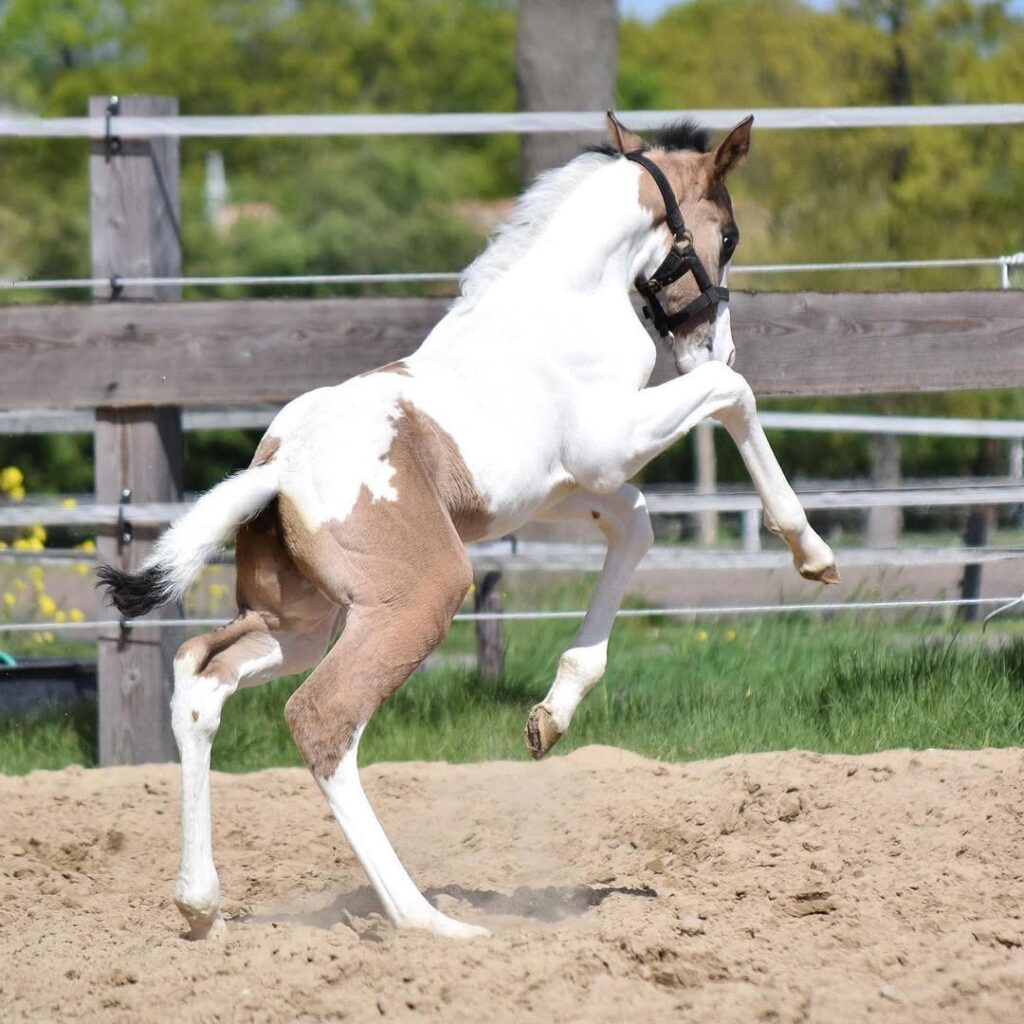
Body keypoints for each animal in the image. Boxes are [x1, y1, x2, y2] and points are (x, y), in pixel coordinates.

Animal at [98, 112, 839, 942]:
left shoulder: (570, 486)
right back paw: (428, 922)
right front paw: (811, 551)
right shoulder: (610, 446)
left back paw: (201, 907)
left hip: (302, 622)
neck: (565, 302)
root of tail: (279, 469)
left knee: (201, 675)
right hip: (420, 597)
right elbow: (733, 395)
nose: (718, 339)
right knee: (322, 719)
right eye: (731, 234)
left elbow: (638, 529)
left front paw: (550, 718)